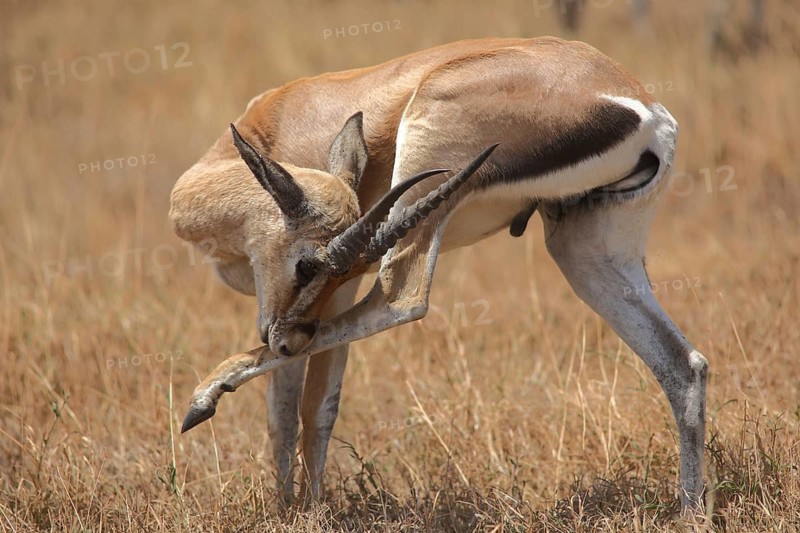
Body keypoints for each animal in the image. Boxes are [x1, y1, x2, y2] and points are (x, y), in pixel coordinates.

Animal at [170, 37, 708, 514]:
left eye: (312, 266)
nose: (286, 340)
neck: (271, 127)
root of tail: (644, 108)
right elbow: (285, 412)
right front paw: (286, 509)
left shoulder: (336, 297)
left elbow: (313, 406)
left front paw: (308, 511)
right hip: (583, 247)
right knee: (684, 365)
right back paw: (691, 510)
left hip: (425, 169)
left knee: (403, 301)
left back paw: (205, 395)